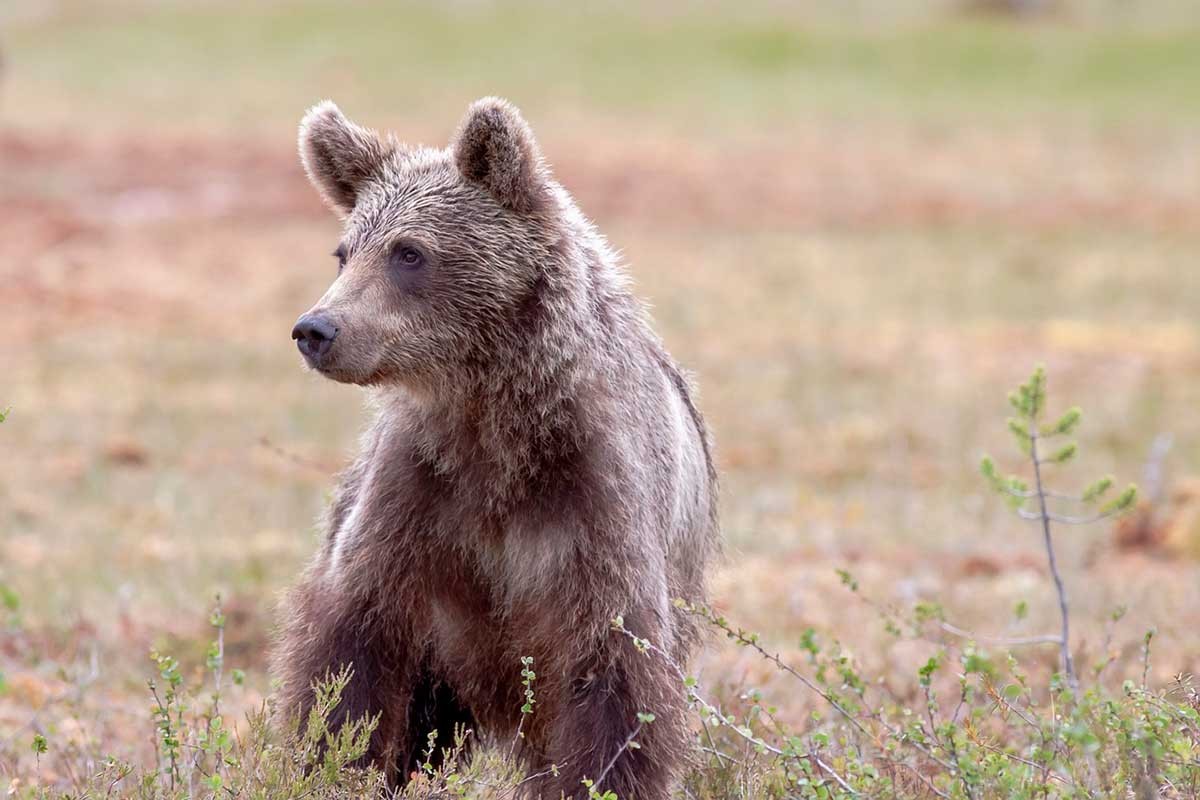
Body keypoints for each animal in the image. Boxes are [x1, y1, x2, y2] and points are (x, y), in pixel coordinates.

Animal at [274, 95, 710, 800]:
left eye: (409, 252)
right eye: (344, 252)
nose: (317, 329)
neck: (496, 424)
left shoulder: (595, 505)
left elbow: (614, 686)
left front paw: (598, 779)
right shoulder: (416, 501)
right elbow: (350, 665)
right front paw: (333, 762)